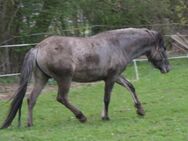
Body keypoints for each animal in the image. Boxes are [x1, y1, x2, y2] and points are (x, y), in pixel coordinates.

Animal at [0, 27, 170, 129]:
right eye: (163, 48)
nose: (168, 68)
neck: (118, 45)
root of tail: (38, 48)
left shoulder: (116, 76)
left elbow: (131, 87)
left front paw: (140, 110)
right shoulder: (111, 78)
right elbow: (107, 98)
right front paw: (105, 116)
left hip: (42, 78)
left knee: (31, 99)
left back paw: (30, 124)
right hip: (64, 79)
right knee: (62, 98)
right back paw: (81, 116)